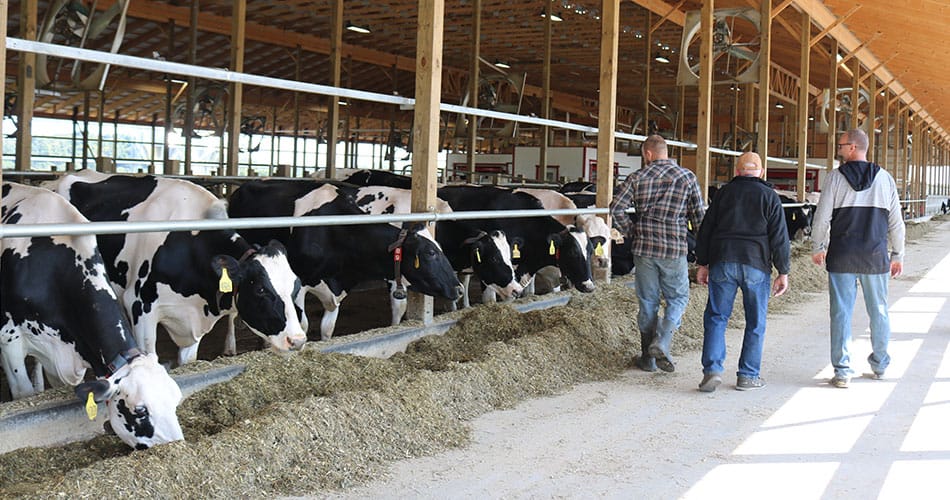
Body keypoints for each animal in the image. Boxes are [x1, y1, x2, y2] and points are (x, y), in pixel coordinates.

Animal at [231, 180, 468, 340]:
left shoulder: (338, 287)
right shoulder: (297, 284)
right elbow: (302, 324)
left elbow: (327, 329)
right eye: (430, 253)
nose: (458, 289)